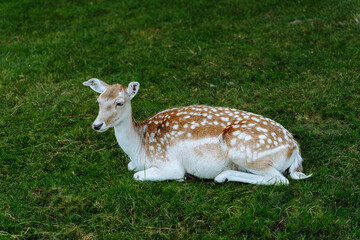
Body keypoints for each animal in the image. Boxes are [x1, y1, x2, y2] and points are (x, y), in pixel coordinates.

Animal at [83, 78, 310, 185]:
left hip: (246, 151)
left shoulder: (169, 163)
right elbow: (131, 168)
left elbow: (138, 176)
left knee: (279, 179)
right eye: (99, 100)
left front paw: (180, 178)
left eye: (119, 103)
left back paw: (221, 176)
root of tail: (295, 150)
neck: (139, 146)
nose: (97, 125)